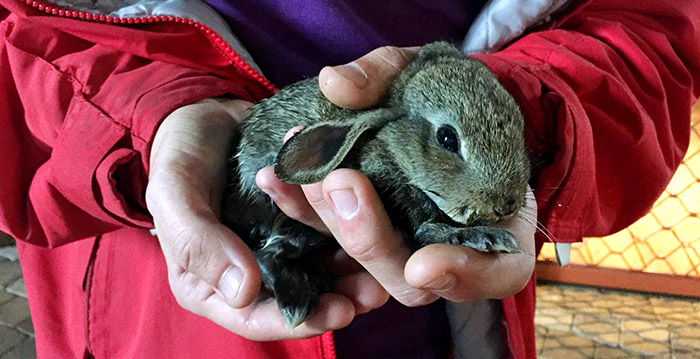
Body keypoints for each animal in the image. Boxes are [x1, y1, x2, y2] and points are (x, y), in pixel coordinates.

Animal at [223, 40, 532, 330]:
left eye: (520, 126)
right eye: (447, 138)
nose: (506, 205)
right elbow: (426, 230)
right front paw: (483, 237)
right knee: (265, 254)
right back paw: (297, 298)